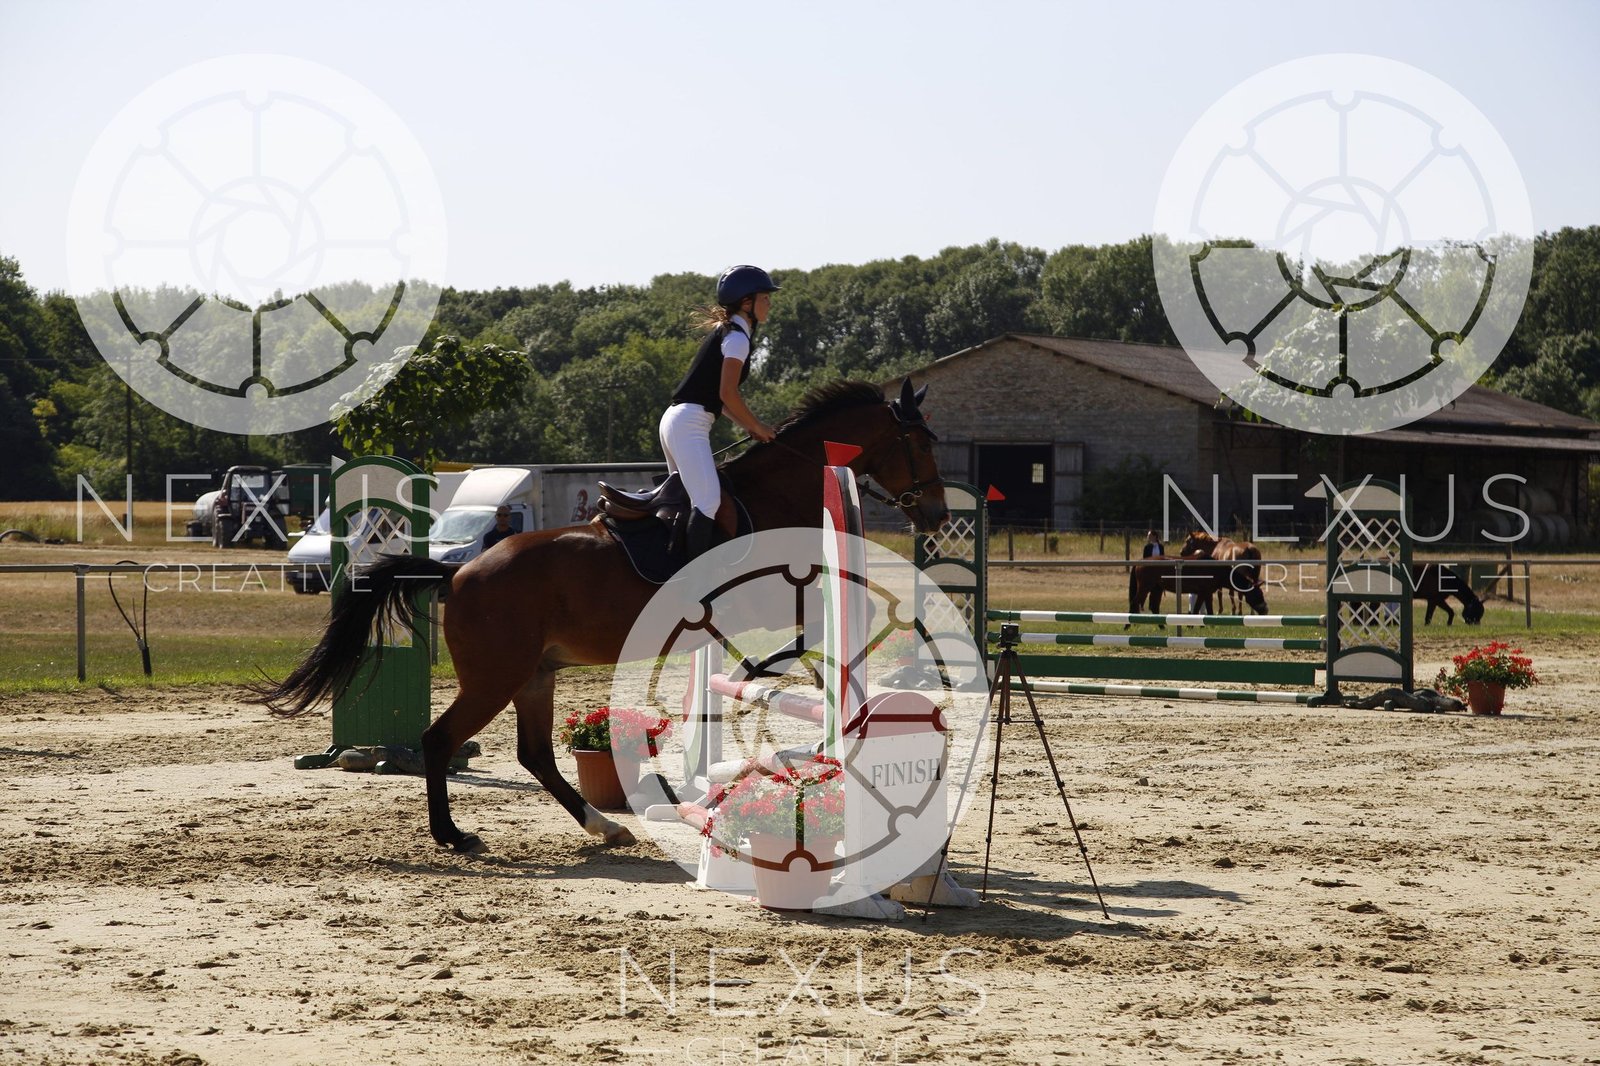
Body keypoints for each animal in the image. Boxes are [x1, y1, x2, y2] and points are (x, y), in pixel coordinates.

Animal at [262, 380, 948, 855]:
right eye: (921, 443)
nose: (939, 516)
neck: (778, 493)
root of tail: (458, 574)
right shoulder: (771, 595)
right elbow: (826, 620)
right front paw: (772, 672)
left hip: (535, 674)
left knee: (534, 754)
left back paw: (604, 827)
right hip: (496, 676)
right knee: (440, 740)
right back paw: (453, 835)